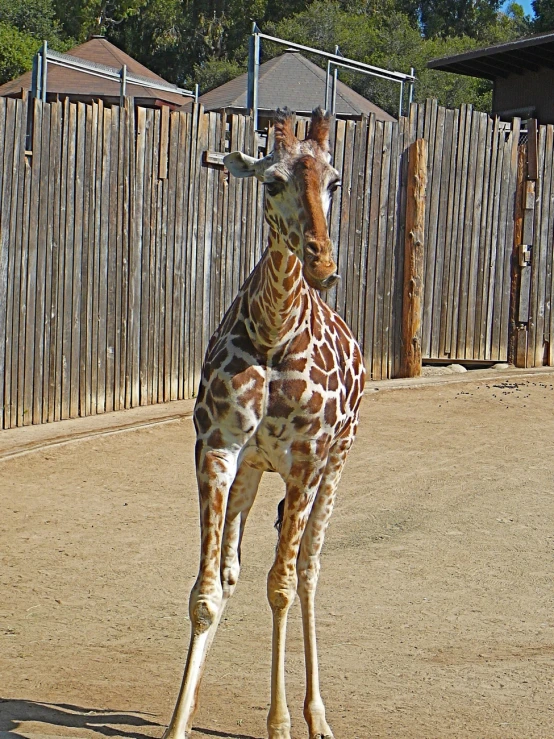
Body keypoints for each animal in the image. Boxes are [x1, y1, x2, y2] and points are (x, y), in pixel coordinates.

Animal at [162, 105, 364, 739]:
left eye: (335, 182)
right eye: (271, 181)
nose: (324, 264)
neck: (273, 334)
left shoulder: (306, 461)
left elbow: (280, 586)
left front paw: (280, 723)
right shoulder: (218, 450)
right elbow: (207, 591)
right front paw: (178, 722)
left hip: (337, 463)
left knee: (307, 569)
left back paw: (316, 716)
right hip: (254, 469)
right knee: (233, 571)